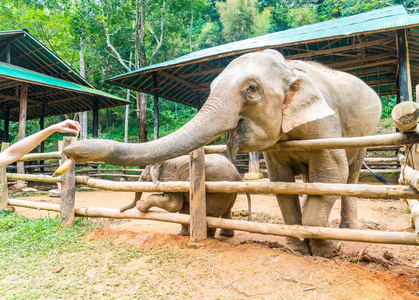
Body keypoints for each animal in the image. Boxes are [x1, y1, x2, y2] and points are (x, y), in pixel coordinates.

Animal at [64, 49, 382, 258]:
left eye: (252, 89)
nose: (71, 147)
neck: (290, 68)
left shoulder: (325, 121)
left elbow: (332, 172)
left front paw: (327, 251)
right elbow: (281, 182)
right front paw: (296, 249)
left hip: (363, 136)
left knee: (349, 177)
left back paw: (347, 228)